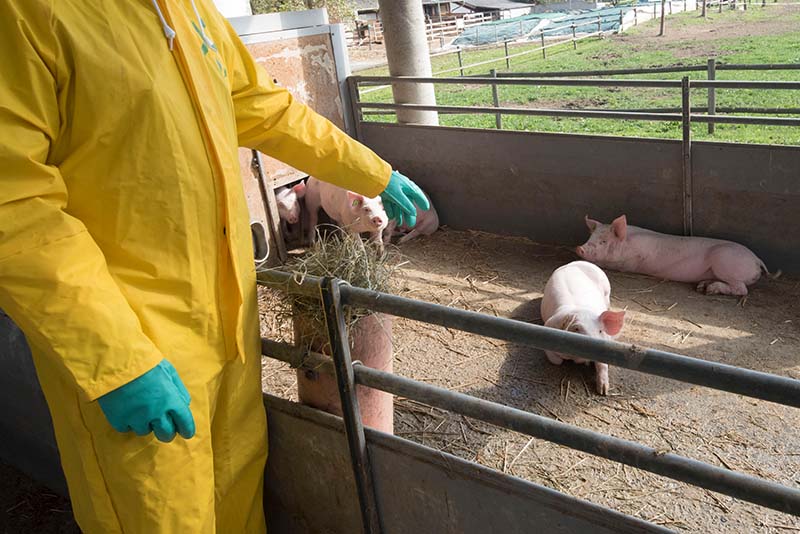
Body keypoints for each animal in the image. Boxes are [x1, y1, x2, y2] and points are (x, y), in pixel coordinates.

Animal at [536, 262, 624, 396]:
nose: (593, 348)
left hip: (607, 290)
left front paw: (603, 391)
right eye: (577, 329)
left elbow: (603, 365)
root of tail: (574, 262)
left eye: (600, 331)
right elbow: (556, 360)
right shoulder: (547, 327)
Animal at [576, 215, 768, 298]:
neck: (628, 244)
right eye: (590, 237)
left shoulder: (629, 263)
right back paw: (702, 286)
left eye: (603, 241)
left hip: (725, 261)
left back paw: (709, 290)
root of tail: (757, 260)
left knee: (741, 290)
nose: (579, 248)